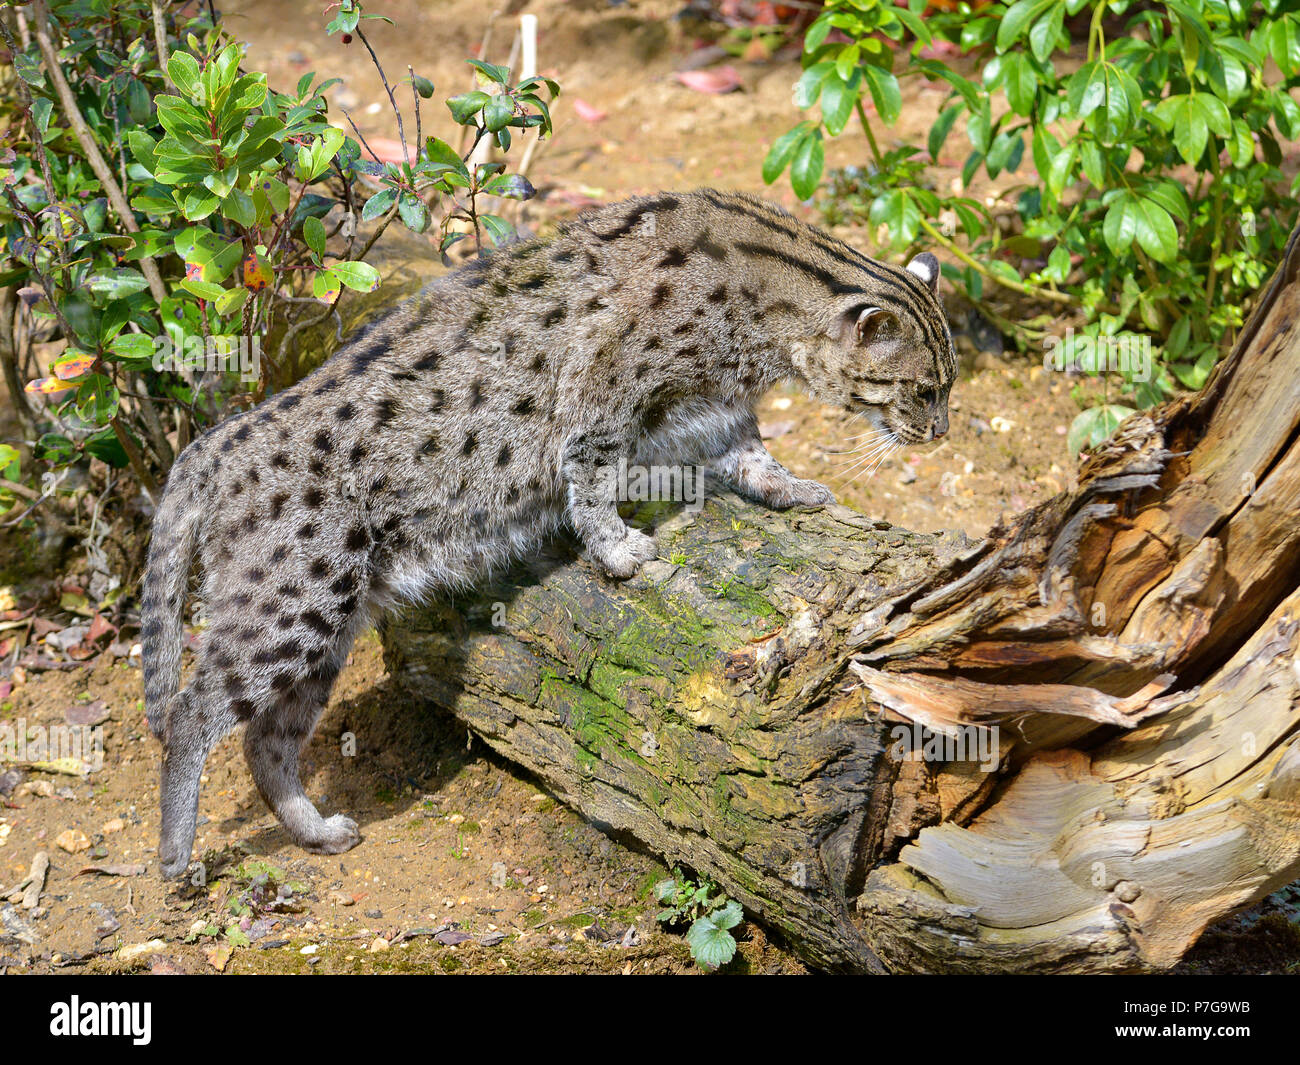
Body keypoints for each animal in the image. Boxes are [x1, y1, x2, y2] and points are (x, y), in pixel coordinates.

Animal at [142, 189, 956, 873]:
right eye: (923, 390)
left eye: (948, 387)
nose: (943, 431)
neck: (763, 290)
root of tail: (218, 439)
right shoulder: (605, 386)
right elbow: (591, 473)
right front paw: (617, 547)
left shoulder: (719, 404)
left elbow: (750, 452)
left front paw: (787, 487)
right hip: (293, 607)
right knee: (190, 712)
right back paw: (176, 852)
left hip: (324, 632)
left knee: (264, 740)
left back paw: (312, 829)